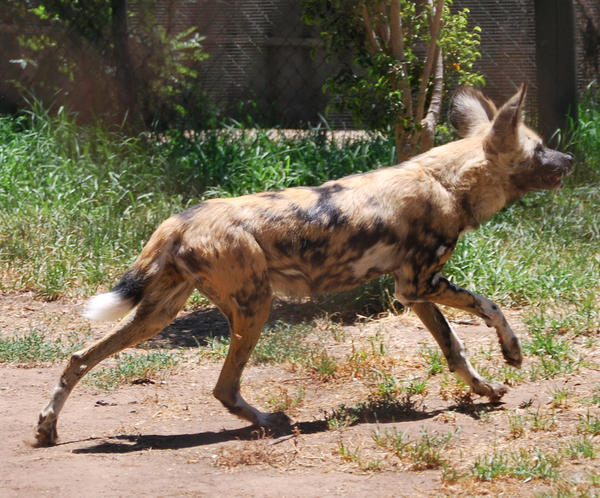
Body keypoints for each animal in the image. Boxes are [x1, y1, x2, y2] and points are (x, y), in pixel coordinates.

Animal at [34, 83, 572, 446]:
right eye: (540, 148)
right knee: (223, 387)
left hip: (159, 314)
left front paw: (485, 388)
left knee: (80, 357)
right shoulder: (422, 284)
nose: (569, 159)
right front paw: (512, 353)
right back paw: (271, 423)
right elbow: (492, 307)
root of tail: (181, 219)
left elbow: (454, 350)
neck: (448, 181)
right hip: (255, 307)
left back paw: (47, 427)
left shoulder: (414, 292)